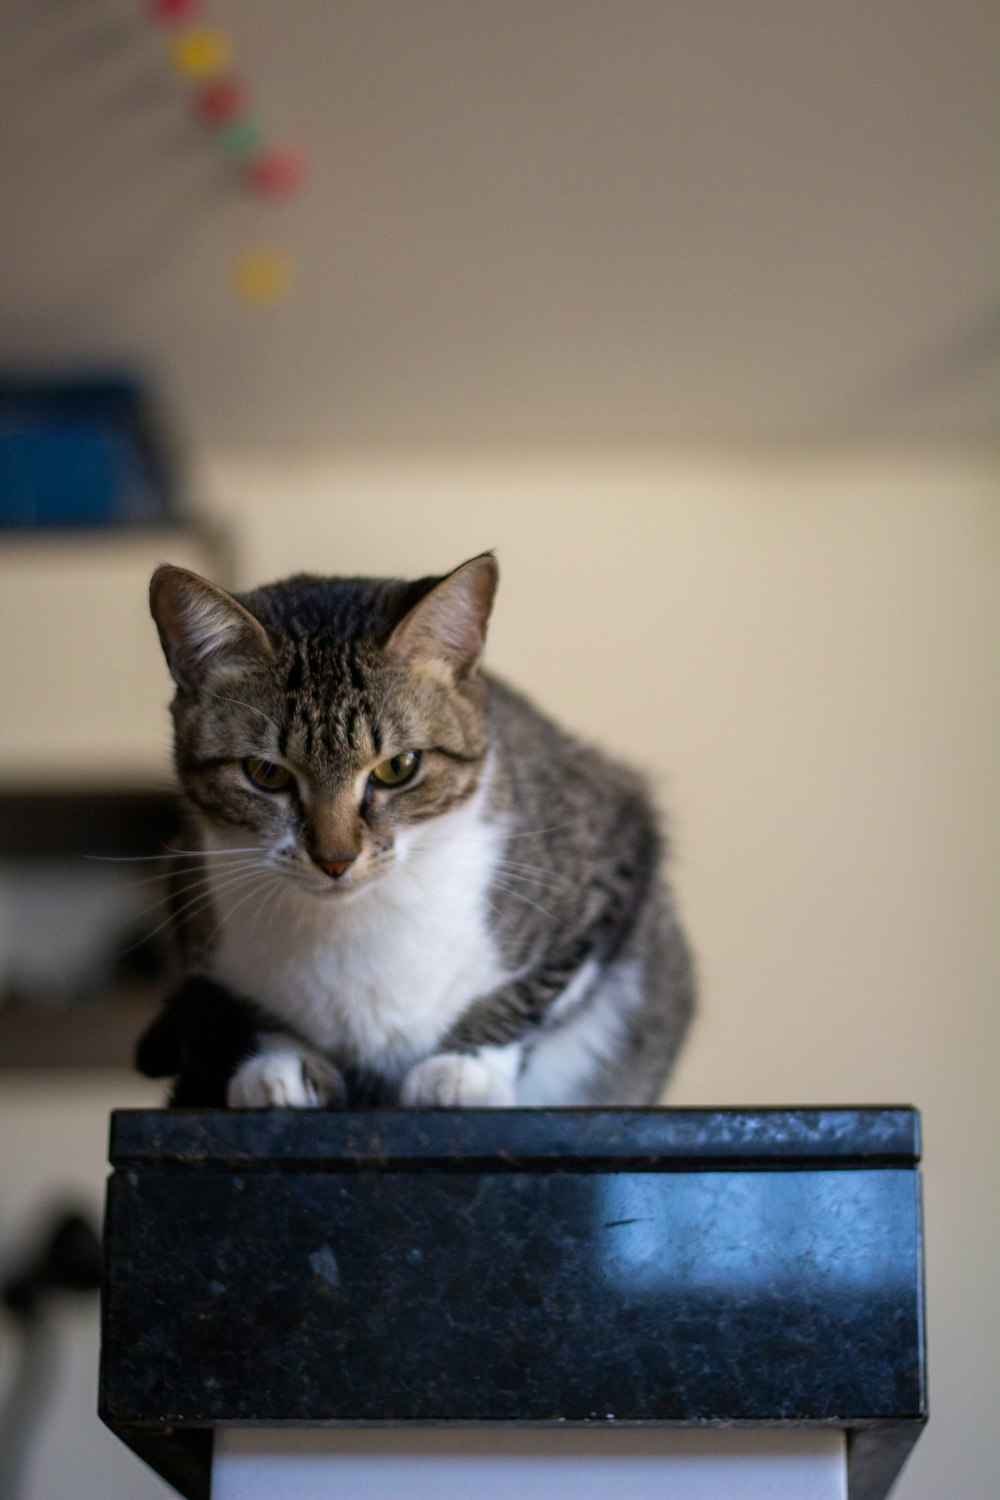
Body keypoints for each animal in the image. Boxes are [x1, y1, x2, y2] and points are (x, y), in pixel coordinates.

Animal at [137, 558, 692, 1110]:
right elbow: (236, 1008)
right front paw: (279, 1063)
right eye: (266, 773)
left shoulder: (612, 850)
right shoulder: (188, 895)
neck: (354, 928)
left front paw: (464, 1067)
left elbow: (537, 990)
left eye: (398, 767)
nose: (335, 859)